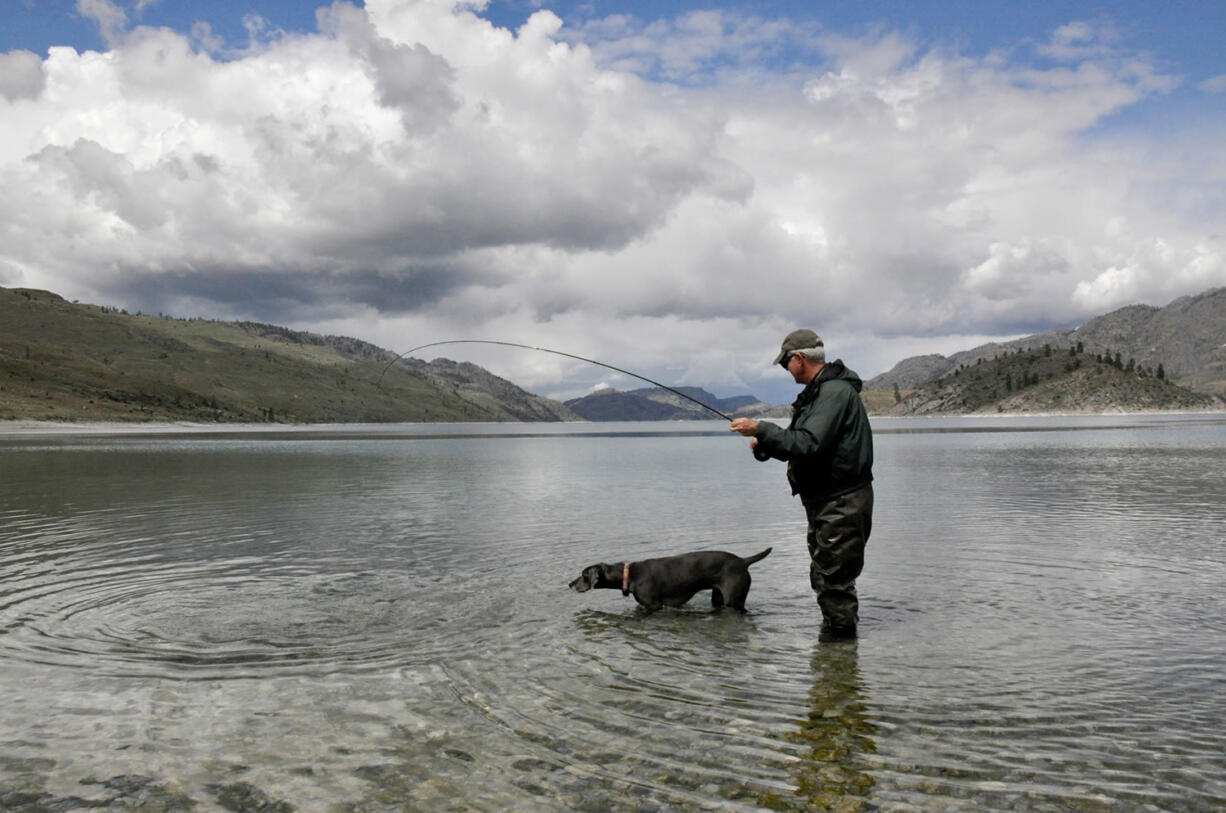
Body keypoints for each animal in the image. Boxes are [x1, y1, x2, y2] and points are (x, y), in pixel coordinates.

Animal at [568, 549, 769, 613]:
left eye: (583, 574)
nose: (569, 584)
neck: (630, 575)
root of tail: (743, 561)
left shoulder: (654, 606)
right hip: (717, 597)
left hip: (734, 600)